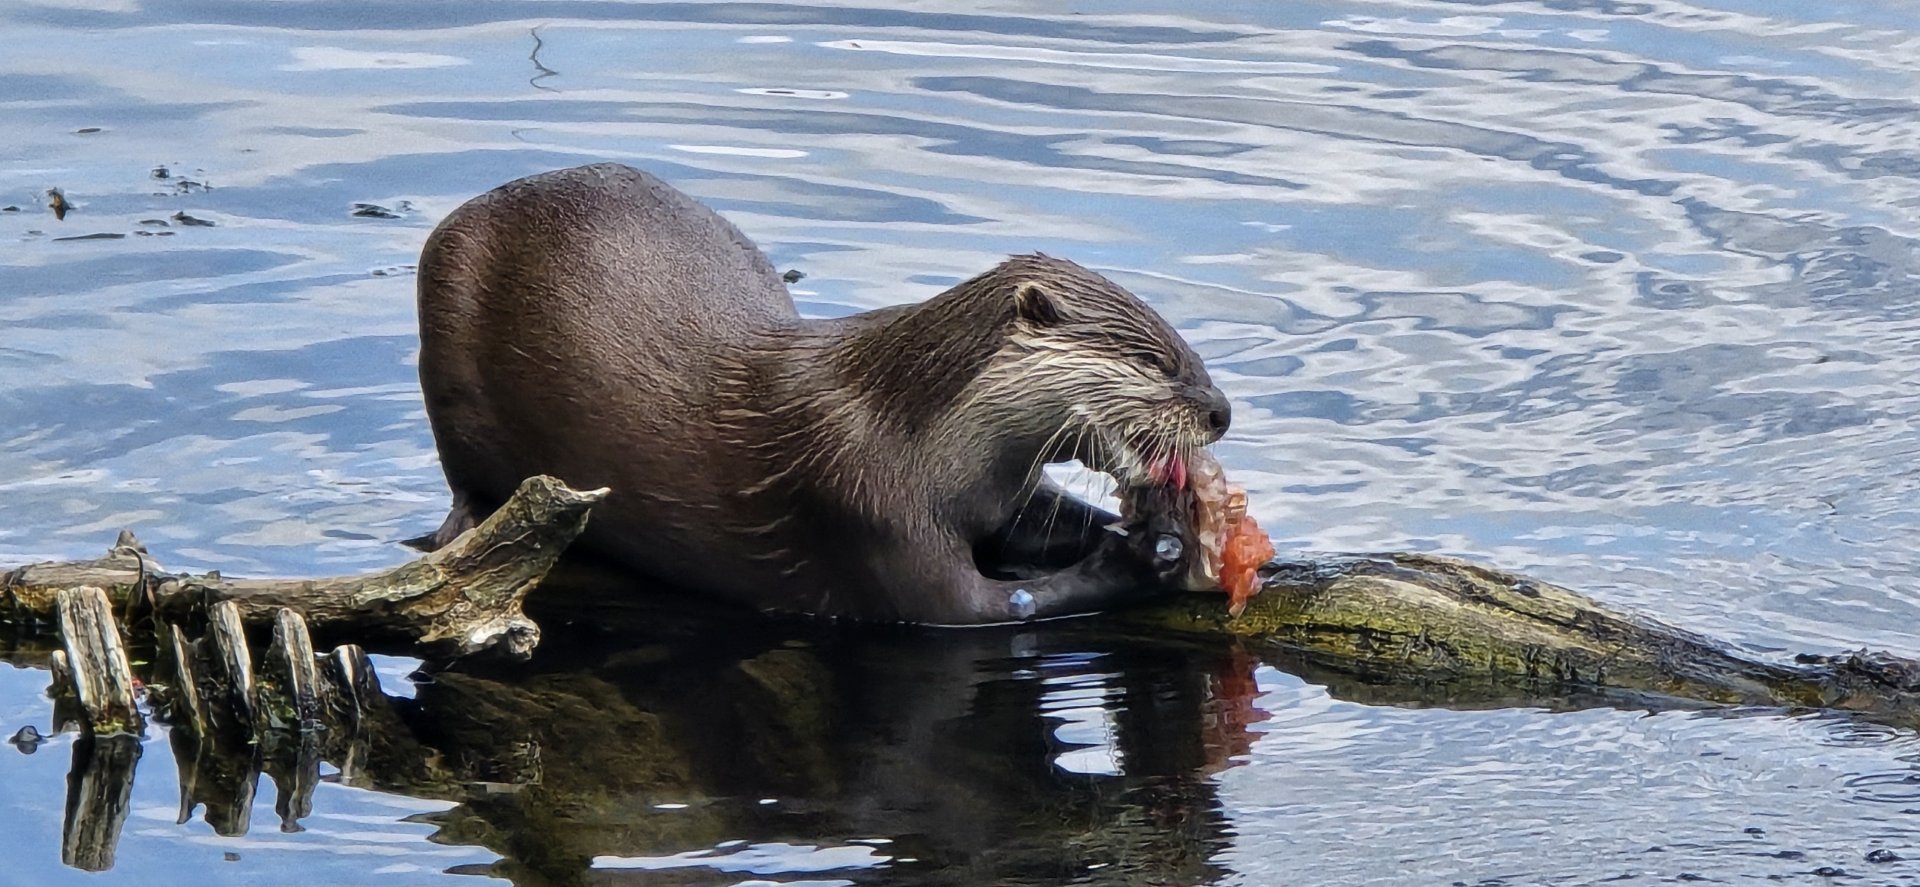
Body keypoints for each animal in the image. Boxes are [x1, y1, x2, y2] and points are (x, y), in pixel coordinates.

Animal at [415, 163, 1230, 624]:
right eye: (1155, 360)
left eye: (1189, 349)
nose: (1221, 410)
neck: (914, 432)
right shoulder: (865, 502)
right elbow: (997, 608)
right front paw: (1139, 559)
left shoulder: (999, 494)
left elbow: (1044, 524)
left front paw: (1158, 527)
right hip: (446, 336)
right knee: (460, 473)